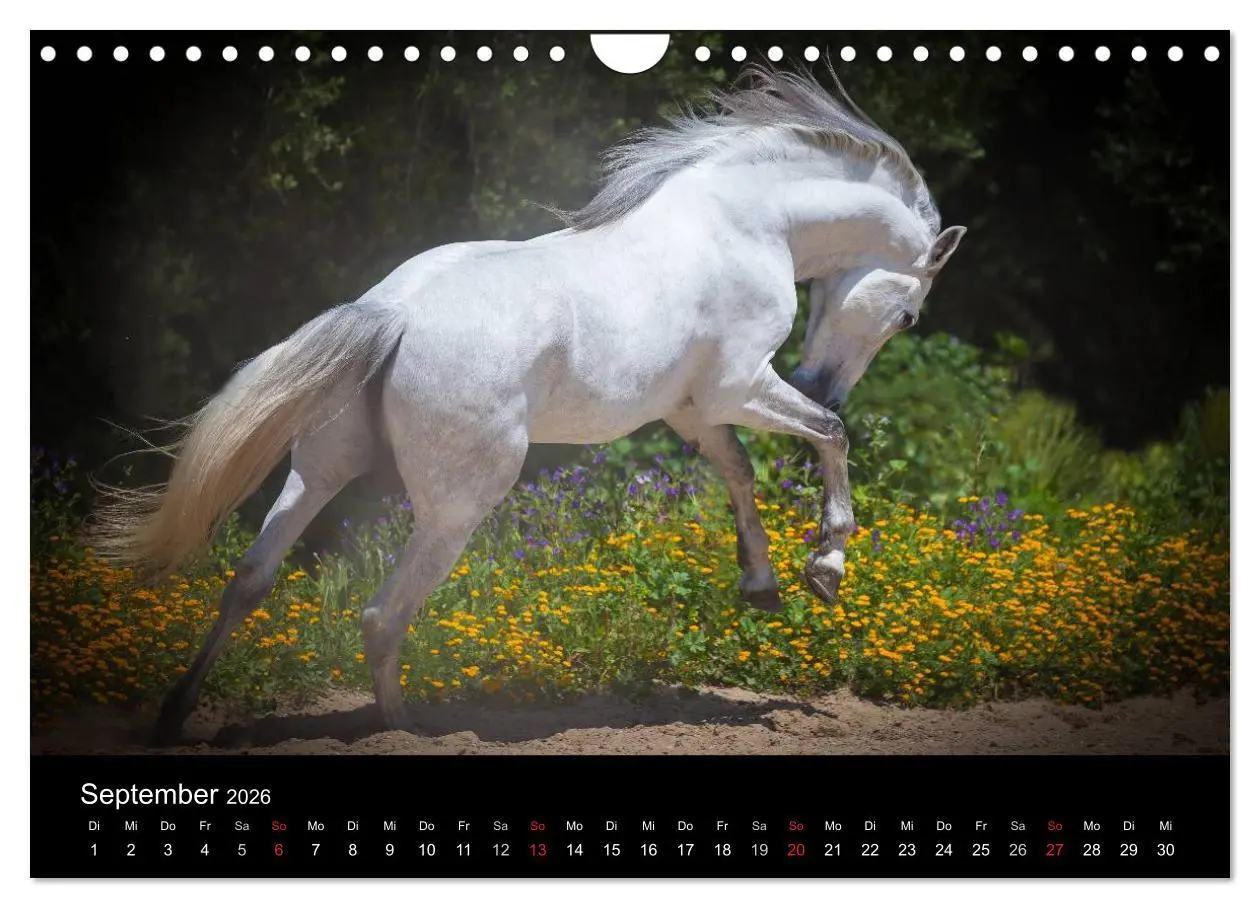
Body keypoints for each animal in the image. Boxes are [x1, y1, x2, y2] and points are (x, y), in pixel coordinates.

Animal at [89, 64, 966, 744]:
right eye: (908, 316)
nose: (824, 379)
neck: (750, 223)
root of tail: (390, 313)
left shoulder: (692, 407)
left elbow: (740, 471)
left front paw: (763, 584)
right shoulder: (740, 385)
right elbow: (831, 437)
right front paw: (826, 566)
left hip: (320, 471)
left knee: (250, 579)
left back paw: (175, 717)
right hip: (460, 503)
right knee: (380, 614)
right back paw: (410, 729)